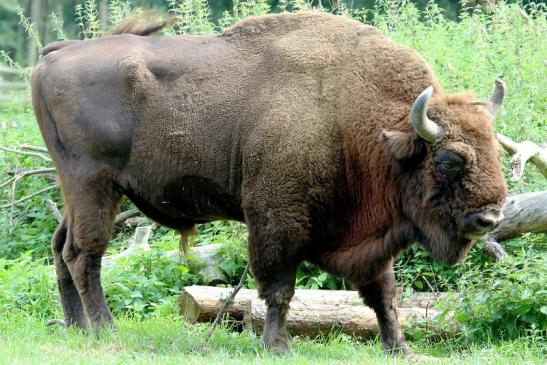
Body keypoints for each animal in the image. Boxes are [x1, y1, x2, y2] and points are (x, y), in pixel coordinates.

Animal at [32, 12, 508, 354]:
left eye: (495, 151)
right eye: (449, 160)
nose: (490, 217)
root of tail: (57, 51)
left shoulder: (372, 237)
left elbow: (383, 294)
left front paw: (400, 349)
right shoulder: (276, 220)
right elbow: (280, 288)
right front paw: (278, 347)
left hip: (75, 191)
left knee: (60, 247)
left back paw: (75, 328)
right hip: (93, 185)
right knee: (84, 253)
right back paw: (104, 331)